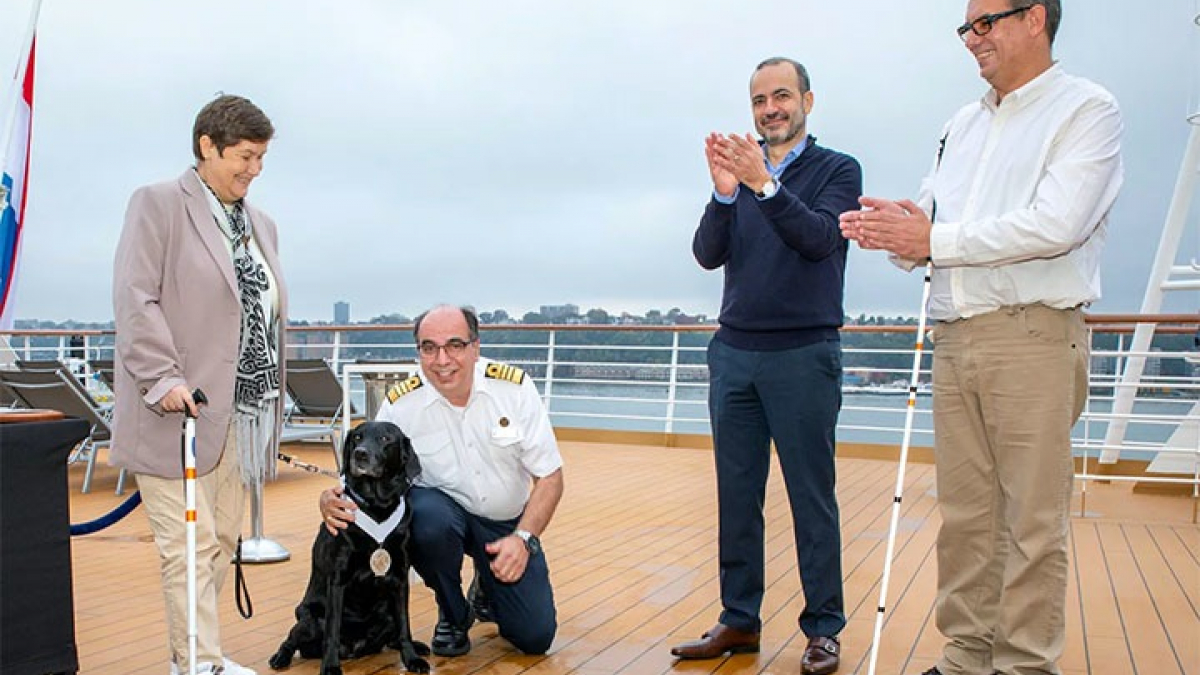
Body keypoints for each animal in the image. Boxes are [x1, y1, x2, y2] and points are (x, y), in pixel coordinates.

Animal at [270, 417, 429, 667]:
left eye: (385, 438)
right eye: (357, 437)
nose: (360, 453)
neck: (376, 507)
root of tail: (355, 648)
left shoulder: (400, 578)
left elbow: (405, 625)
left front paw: (412, 658)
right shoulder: (338, 579)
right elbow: (332, 631)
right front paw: (330, 667)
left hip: (385, 613)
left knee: (392, 635)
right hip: (309, 617)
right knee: (293, 638)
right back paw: (281, 657)